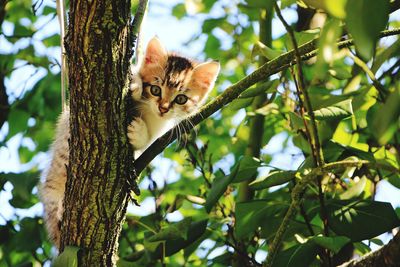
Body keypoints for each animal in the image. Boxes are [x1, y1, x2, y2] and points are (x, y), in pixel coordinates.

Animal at [39, 36, 220, 249]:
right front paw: (135, 85)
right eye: (155, 89)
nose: (163, 108)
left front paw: (138, 132)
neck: (149, 112)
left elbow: (146, 142)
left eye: (181, 99)